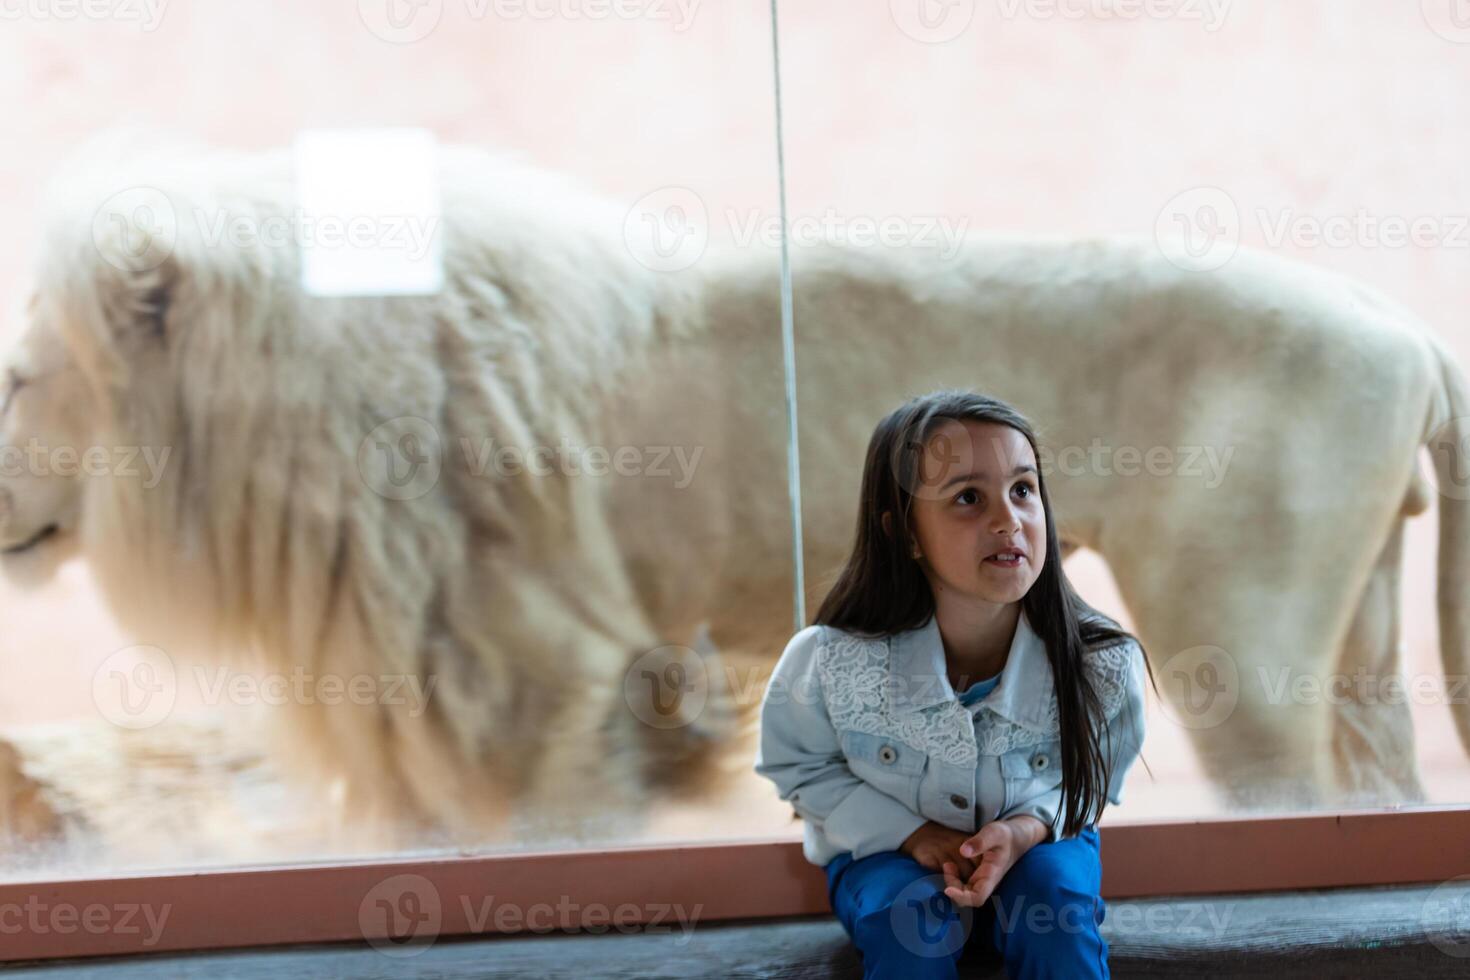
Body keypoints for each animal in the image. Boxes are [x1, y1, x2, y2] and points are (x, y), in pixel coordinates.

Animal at [0, 135, 1464, 852]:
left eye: (15, 379)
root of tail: (1405, 326)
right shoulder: (408, 680)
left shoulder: (536, 665)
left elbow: (559, 823)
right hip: (1354, 634)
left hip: (1237, 632)